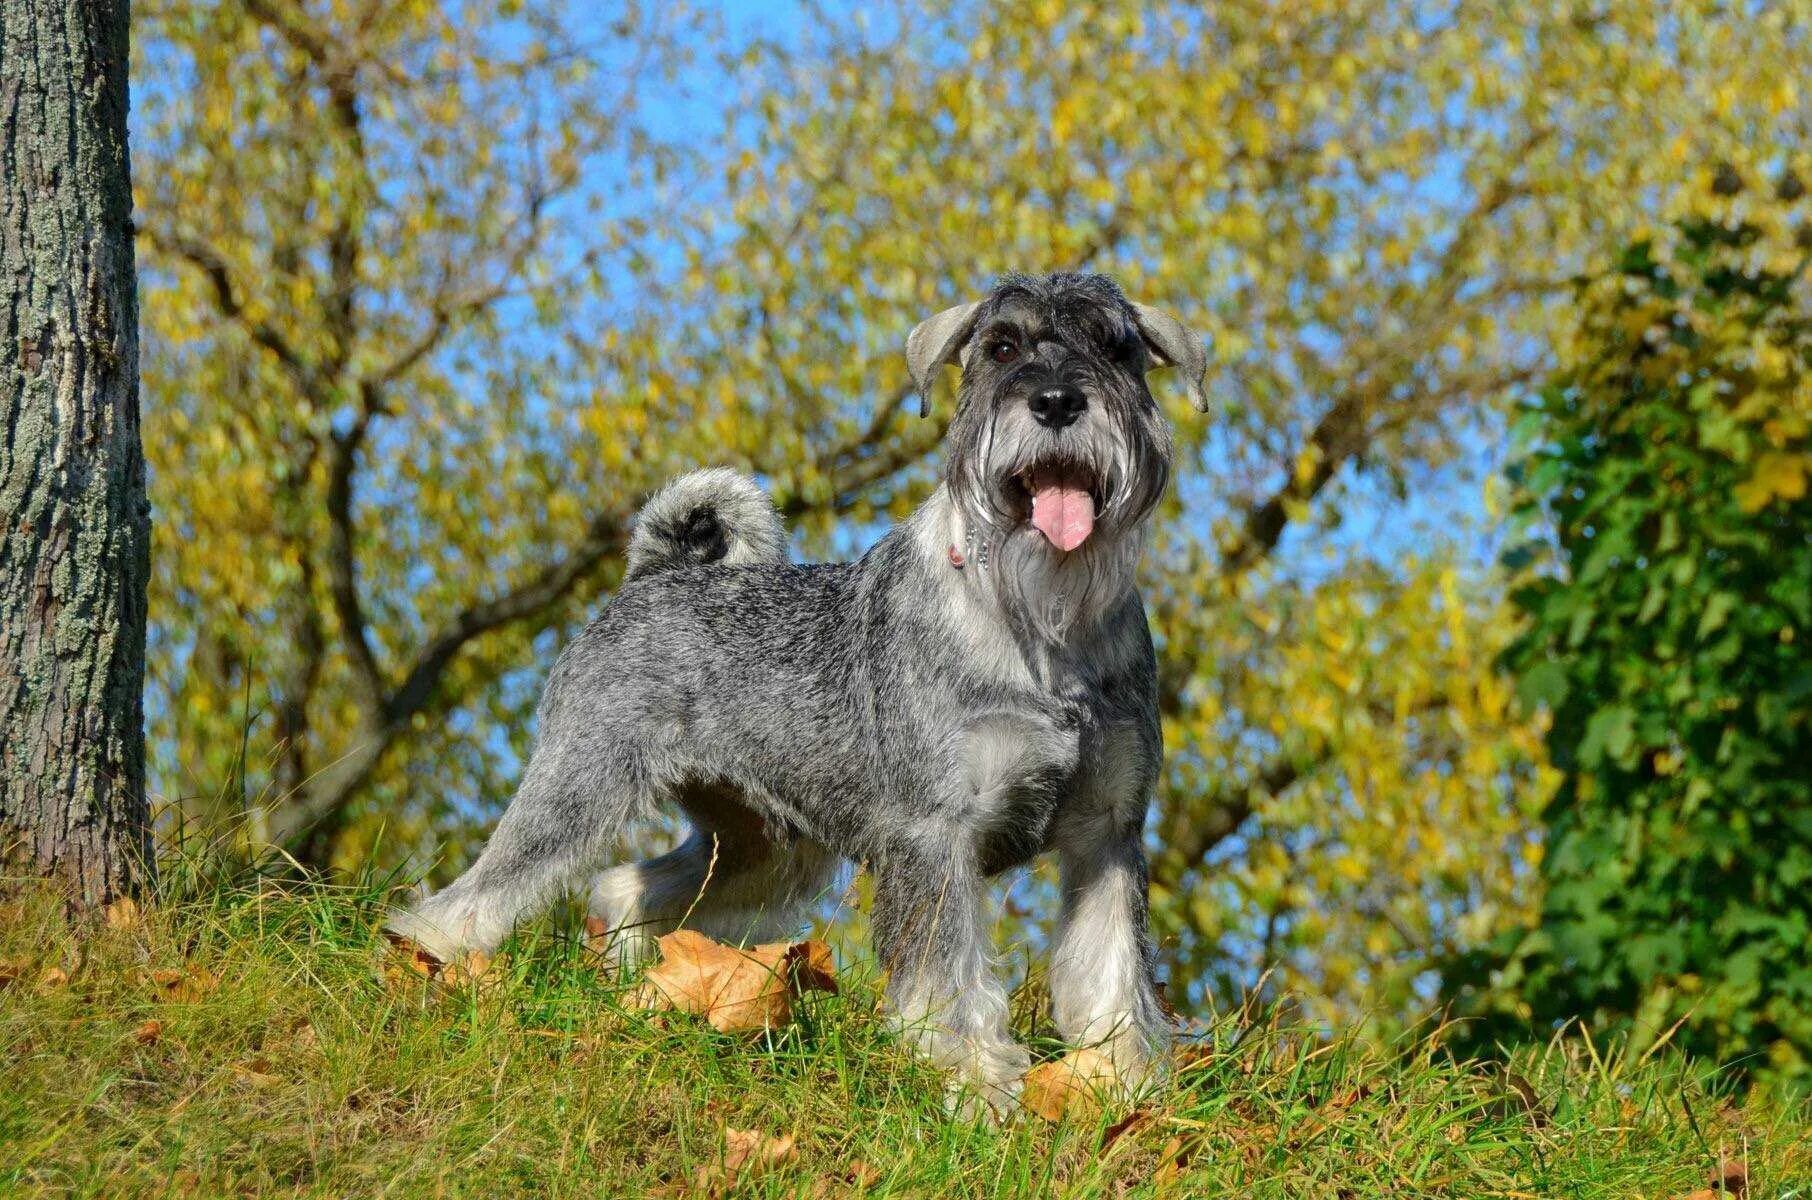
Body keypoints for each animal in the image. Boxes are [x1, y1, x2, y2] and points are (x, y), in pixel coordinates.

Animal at [389, 271, 1210, 1109]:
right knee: (475, 896)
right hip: (582, 783)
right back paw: (426, 968)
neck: (1044, 627)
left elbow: (1111, 969)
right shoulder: (935, 836)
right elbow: (947, 979)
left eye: (1116, 345)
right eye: (1002, 346)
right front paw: (973, 1087)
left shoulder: (1105, 835)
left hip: (764, 843)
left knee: (629, 888)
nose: (1056, 401)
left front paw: (1124, 1087)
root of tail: (656, 572)